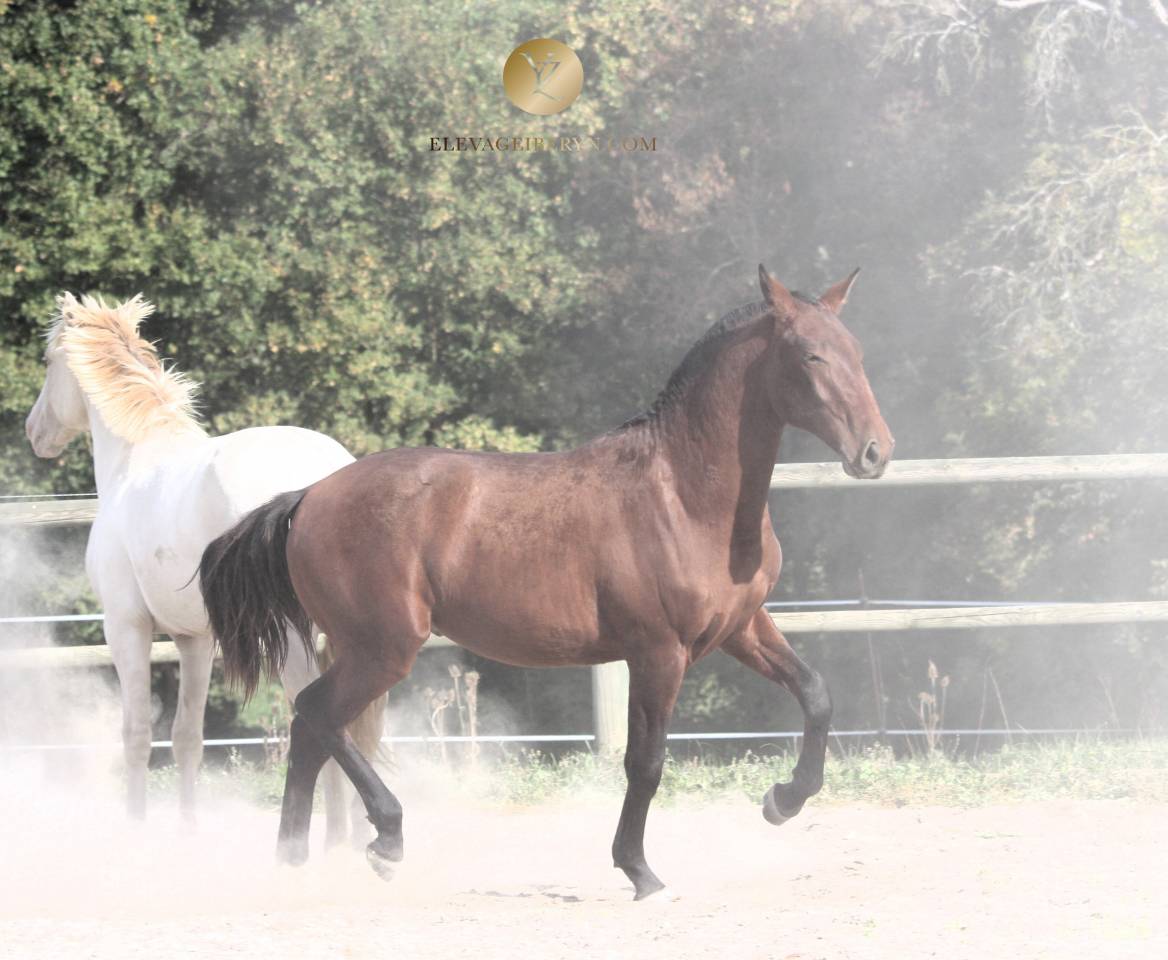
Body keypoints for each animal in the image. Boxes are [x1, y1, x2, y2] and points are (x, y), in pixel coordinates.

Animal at [25, 292, 382, 840]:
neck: (135, 459)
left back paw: (331, 842)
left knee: (319, 719)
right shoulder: (194, 639)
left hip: (295, 642)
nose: (34, 432)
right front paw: (188, 831)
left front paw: (135, 829)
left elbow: (136, 734)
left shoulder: (125, 627)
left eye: (47, 362)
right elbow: (186, 737)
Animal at [199, 265, 894, 899]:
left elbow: (816, 695)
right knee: (317, 715)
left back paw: (294, 864)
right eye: (810, 354)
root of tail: (309, 496)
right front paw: (639, 872)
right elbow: (645, 763)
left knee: (310, 732)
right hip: (384, 648)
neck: (685, 496)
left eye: (859, 352)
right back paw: (385, 838)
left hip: (363, 650)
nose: (875, 452)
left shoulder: (741, 628)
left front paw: (783, 800)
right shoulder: (658, 652)